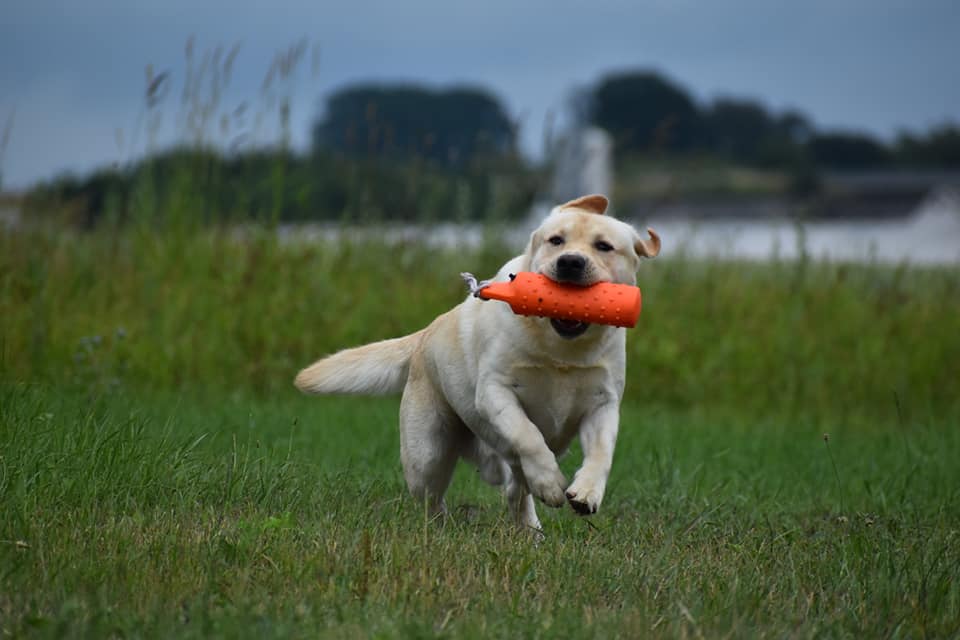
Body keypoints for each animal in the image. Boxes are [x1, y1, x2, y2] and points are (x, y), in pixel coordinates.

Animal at [296, 194, 664, 528]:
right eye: (556, 241)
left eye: (604, 246)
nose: (570, 262)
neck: (559, 350)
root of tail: (424, 335)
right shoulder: (494, 391)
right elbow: (528, 435)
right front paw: (551, 484)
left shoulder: (603, 402)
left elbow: (602, 453)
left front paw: (586, 493)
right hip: (426, 453)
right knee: (434, 497)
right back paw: (443, 527)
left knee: (515, 490)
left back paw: (530, 531)